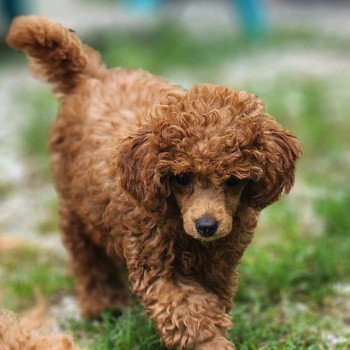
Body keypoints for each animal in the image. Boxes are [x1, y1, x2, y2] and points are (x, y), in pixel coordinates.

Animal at [6, 17, 300, 350]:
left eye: (234, 180)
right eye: (182, 177)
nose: (207, 226)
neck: (178, 219)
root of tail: (91, 76)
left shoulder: (219, 265)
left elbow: (208, 304)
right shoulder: (155, 264)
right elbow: (185, 312)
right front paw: (210, 342)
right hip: (75, 205)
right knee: (87, 257)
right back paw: (103, 306)